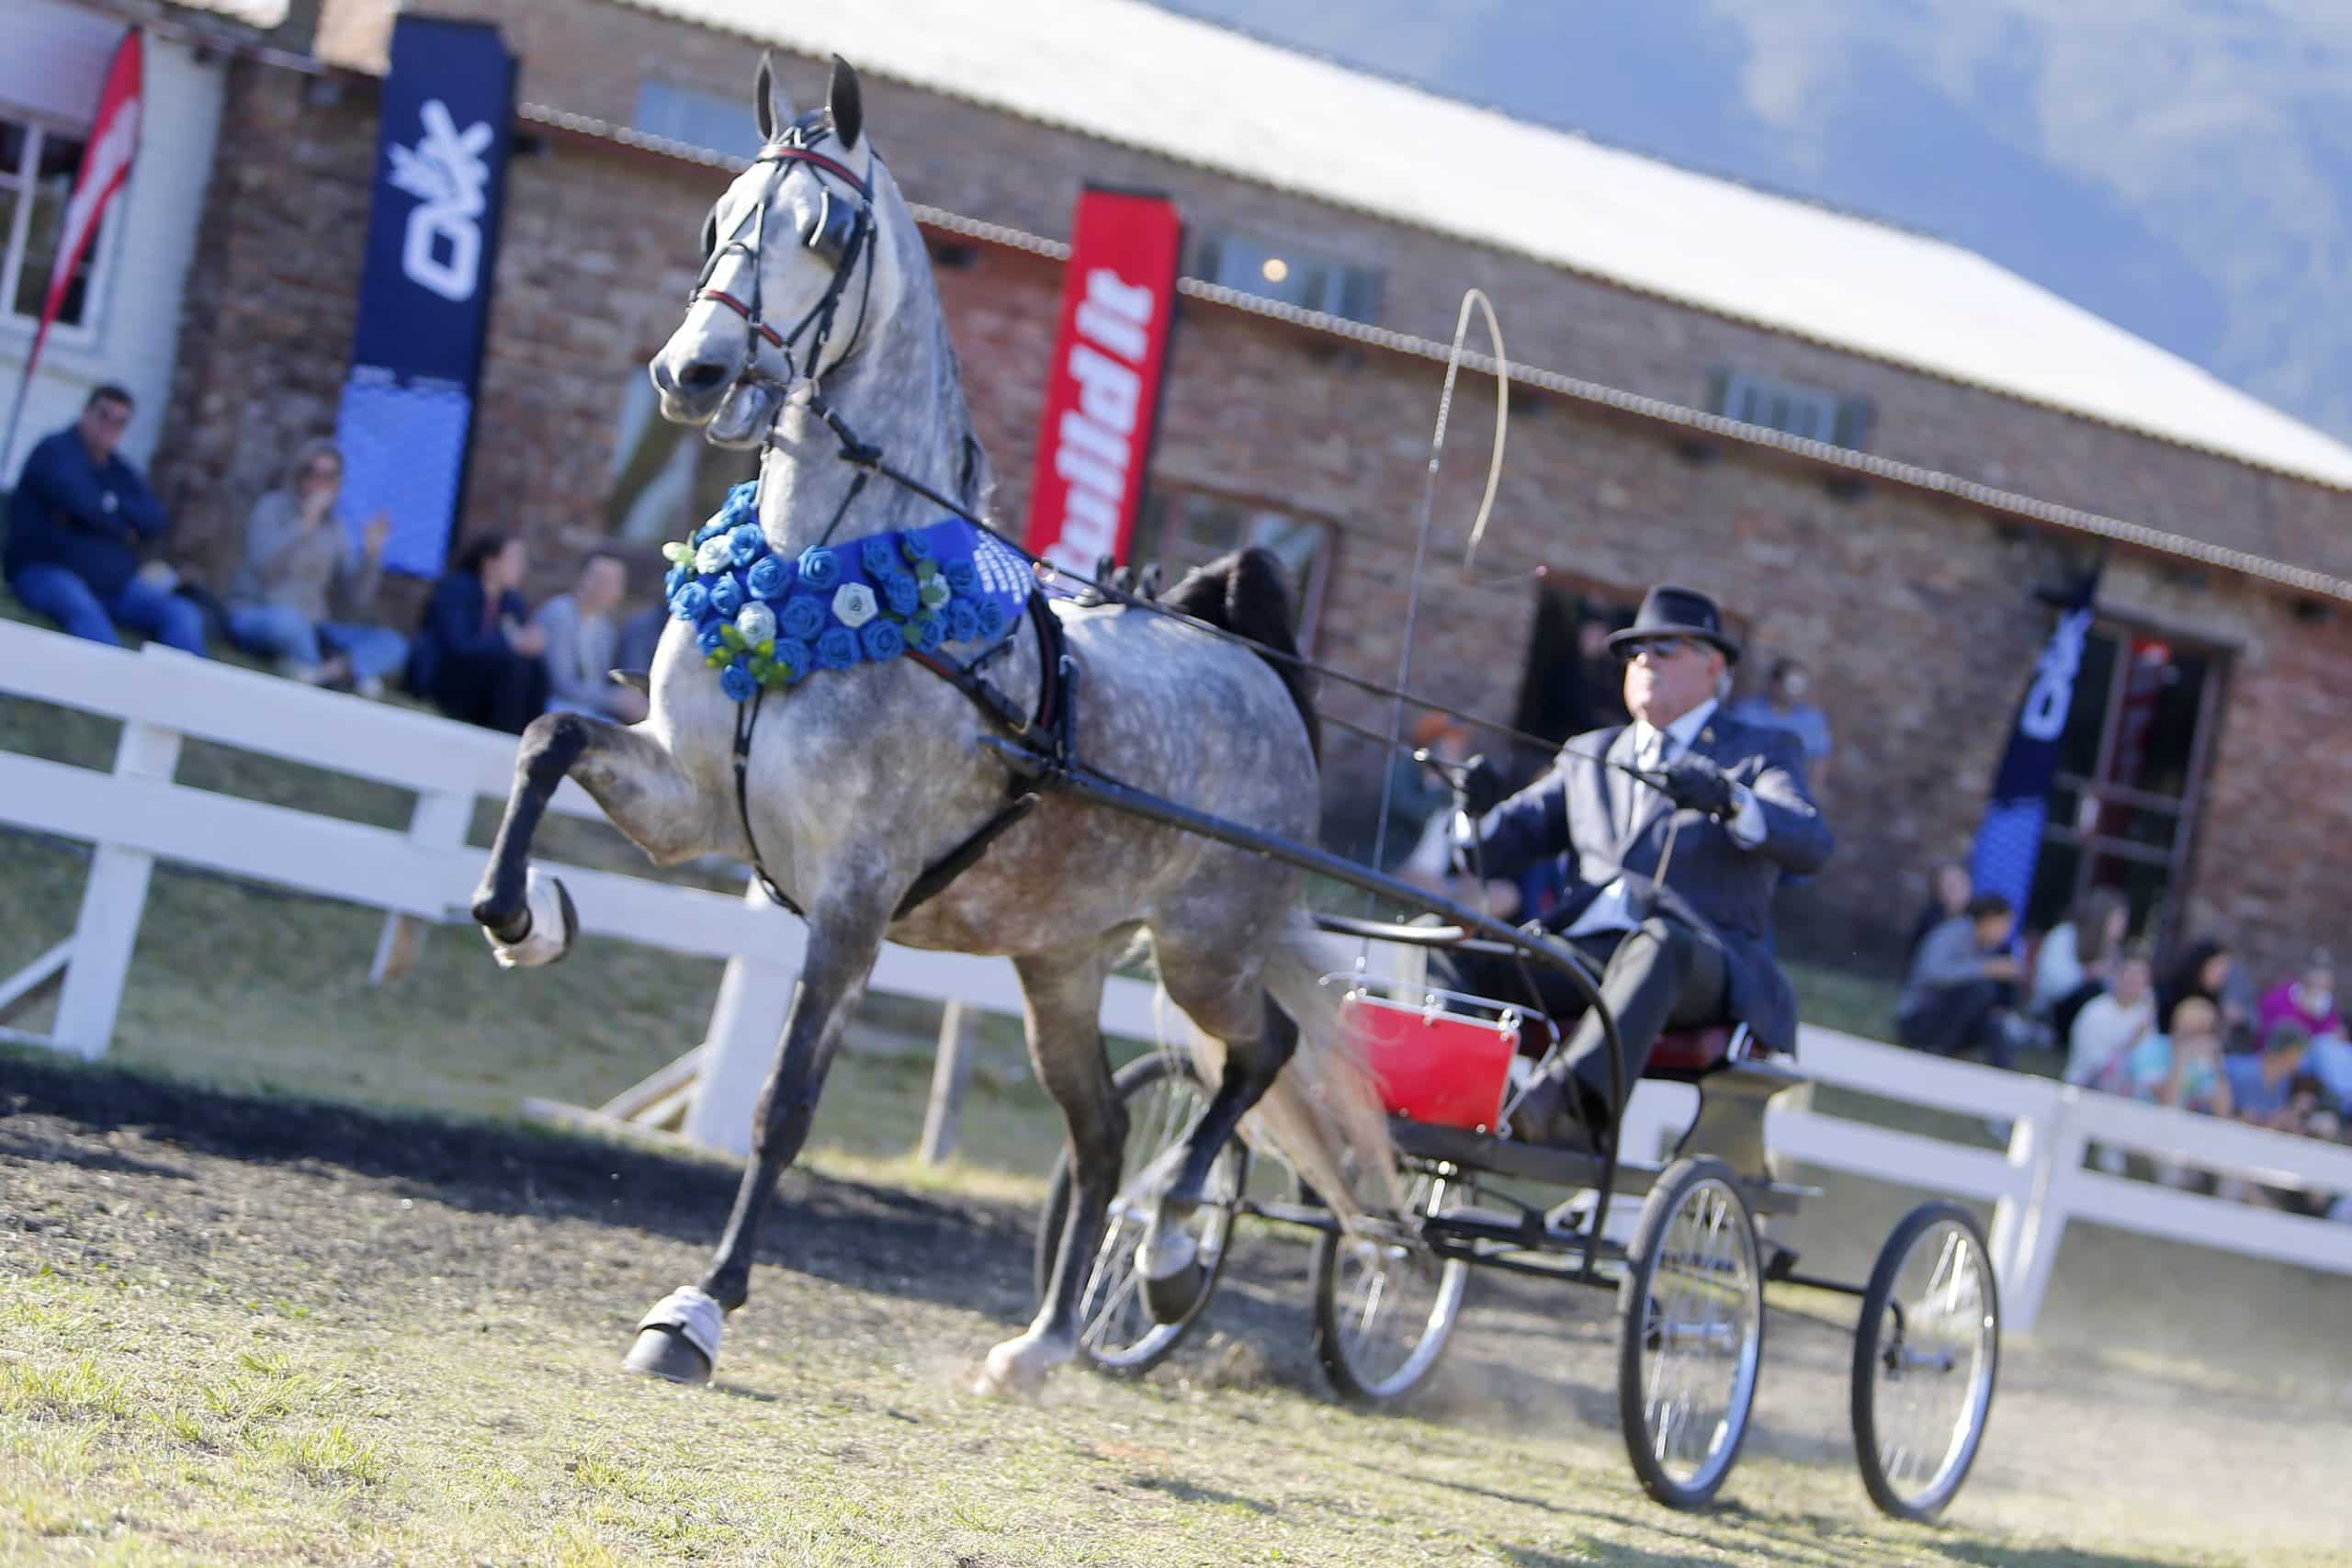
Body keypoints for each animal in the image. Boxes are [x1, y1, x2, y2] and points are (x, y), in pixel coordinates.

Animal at [470, 55, 1401, 1392]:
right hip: (1060, 958)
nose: (691, 374)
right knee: (1103, 1130)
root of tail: (1251, 665)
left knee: (1257, 1055)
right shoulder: (687, 802)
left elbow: (784, 1105)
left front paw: (697, 1309)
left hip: (1205, 946)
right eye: (716, 216)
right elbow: (547, 735)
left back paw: (1172, 1247)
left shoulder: (854, 898)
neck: (809, 577)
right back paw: (1043, 1343)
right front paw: (525, 917)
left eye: (825, 231)